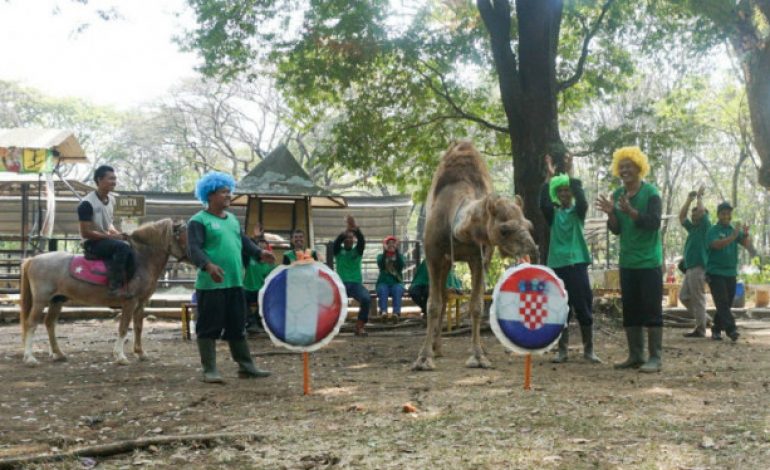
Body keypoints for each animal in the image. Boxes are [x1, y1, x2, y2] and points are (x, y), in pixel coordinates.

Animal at [20, 218, 188, 366]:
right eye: (182, 236)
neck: (141, 260)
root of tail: (33, 260)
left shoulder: (141, 303)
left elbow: (138, 327)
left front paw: (140, 353)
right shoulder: (130, 302)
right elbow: (123, 327)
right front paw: (120, 356)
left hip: (57, 300)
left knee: (49, 323)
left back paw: (58, 354)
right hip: (40, 301)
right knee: (31, 323)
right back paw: (29, 358)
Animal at [412, 142, 536, 370]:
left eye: (528, 224)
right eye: (504, 229)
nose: (532, 250)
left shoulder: (480, 258)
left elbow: (476, 305)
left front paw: (478, 356)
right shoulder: (433, 255)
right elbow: (433, 305)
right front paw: (424, 358)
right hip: (445, 261)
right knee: (443, 296)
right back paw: (436, 347)